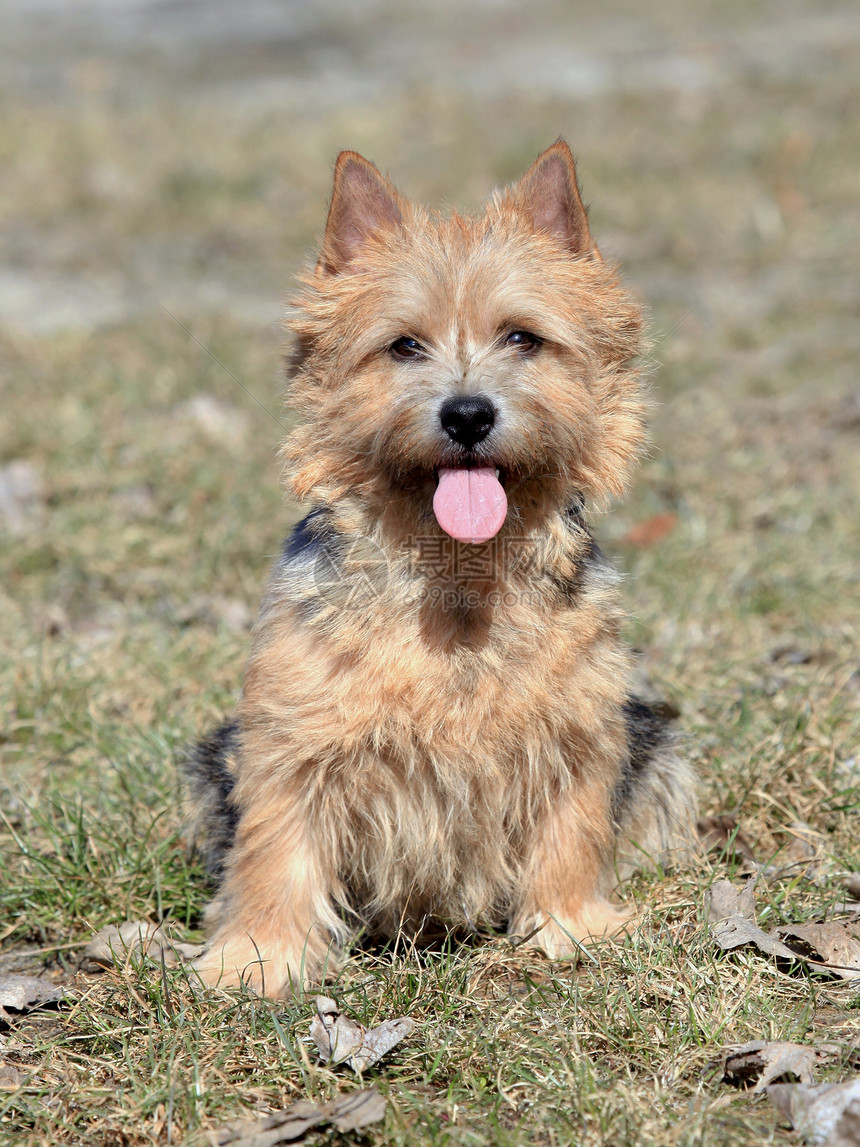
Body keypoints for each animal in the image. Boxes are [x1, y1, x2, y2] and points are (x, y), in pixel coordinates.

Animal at [185, 138, 697, 995]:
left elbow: (573, 829)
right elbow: (276, 849)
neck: (457, 580)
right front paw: (255, 961)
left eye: (523, 338)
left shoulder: (579, 729)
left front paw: (570, 929)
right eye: (403, 344)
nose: (467, 413)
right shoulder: (291, 738)